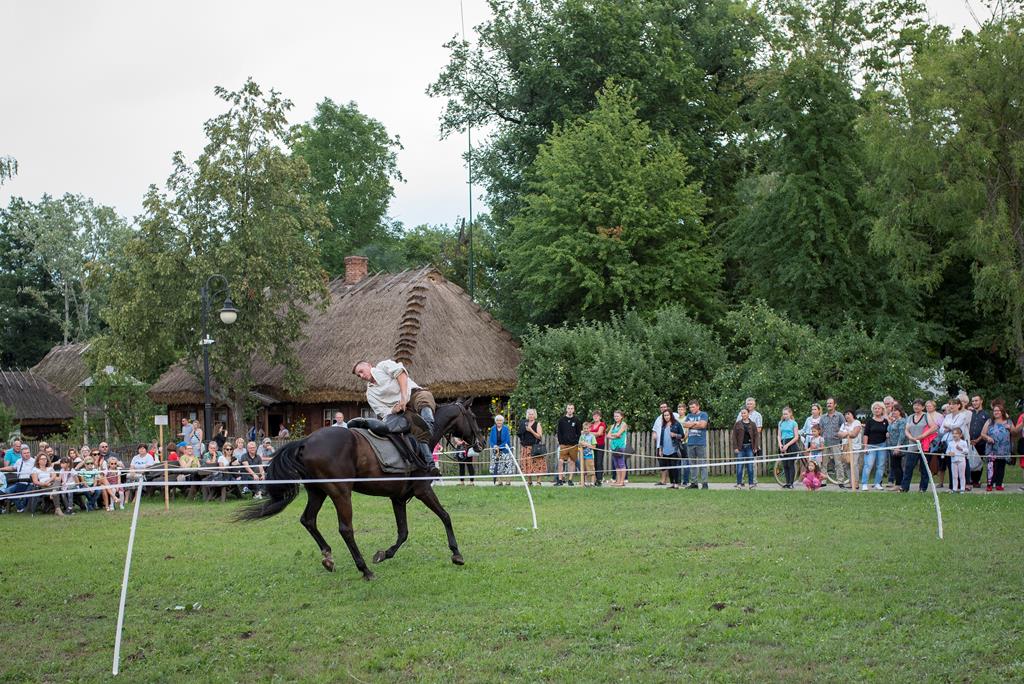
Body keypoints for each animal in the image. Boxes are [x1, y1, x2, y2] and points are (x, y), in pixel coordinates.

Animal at [237, 400, 484, 580]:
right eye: (472, 417)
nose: (480, 442)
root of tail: (305, 441)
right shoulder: (423, 491)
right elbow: (445, 516)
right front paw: (456, 553)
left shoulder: (398, 498)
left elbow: (403, 532)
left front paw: (384, 554)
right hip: (340, 493)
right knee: (345, 529)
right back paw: (364, 569)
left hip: (318, 492)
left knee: (308, 520)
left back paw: (328, 557)